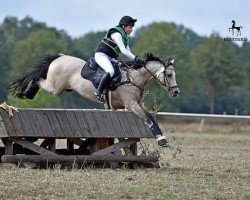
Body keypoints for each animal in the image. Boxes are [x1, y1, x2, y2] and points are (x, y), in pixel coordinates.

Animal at [7, 53, 180, 147]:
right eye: (169, 74)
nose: (176, 92)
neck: (133, 78)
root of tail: (60, 57)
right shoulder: (131, 105)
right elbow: (147, 119)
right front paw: (161, 140)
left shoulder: (138, 104)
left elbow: (152, 118)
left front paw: (162, 138)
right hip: (54, 87)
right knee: (37, 78)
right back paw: (26, 93)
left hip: (56, 86)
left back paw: (27, 93)